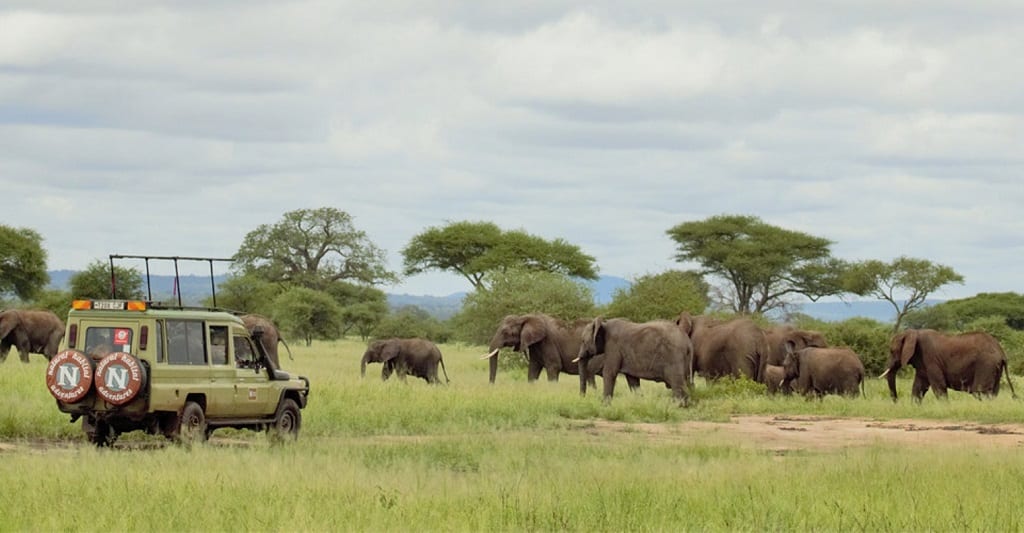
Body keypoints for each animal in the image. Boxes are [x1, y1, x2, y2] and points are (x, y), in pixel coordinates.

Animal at [880, 325, 1015, 401]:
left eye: (892, 351)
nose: (896, 401)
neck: (914, 333)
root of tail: (1002, 352)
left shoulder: (931, 360)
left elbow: (939, 387)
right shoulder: (923, 364)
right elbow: (918, 387)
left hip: (986, 364)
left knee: (980, 392)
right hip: (994, 368)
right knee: (993, 393)